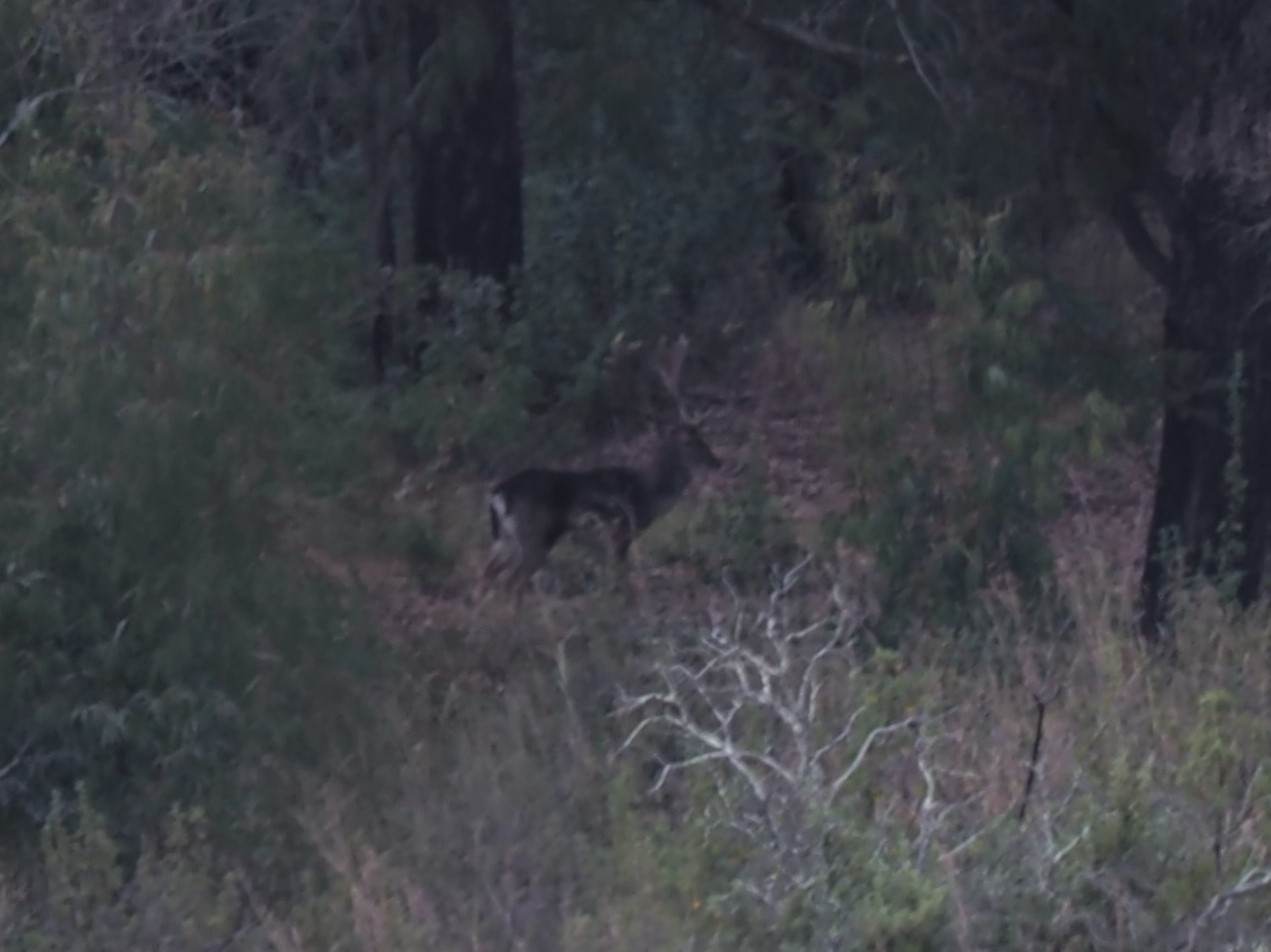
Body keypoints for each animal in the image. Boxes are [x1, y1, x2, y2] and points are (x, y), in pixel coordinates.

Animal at [477, 338, 721, 597]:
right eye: (687, 442)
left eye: (702, 435)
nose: (717, 462)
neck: (646, 493)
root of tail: (498, 494)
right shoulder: (619, 533)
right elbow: (620, 576)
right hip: (533, 535)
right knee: (512, 581)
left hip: (504, 540)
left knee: (485, 574)